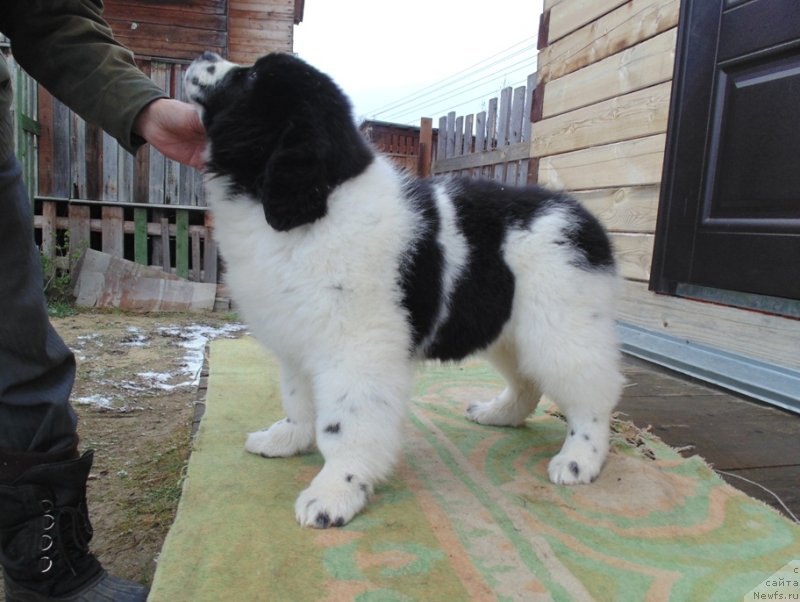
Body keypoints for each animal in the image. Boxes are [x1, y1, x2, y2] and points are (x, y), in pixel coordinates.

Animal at [188, 54, 624, 528]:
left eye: (249, 77)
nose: (206, 57)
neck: (320, 206)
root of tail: (585, 219)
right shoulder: (298, 338)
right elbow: (298, 400)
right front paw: (286, 439)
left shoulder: (356, 348)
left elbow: (344, 423)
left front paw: (336, 491)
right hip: (510, 330)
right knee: (528, 381)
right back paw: (499, 414)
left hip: (561, 328)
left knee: (592, 393)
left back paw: (580, 459)